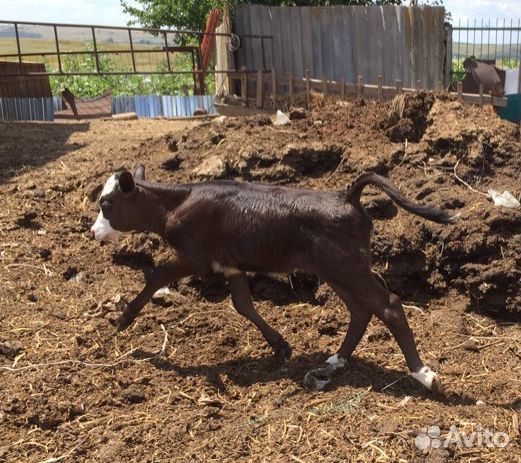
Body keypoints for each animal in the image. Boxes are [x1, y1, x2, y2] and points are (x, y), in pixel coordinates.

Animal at [92, 166, 456, 392]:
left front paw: (123, 319)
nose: (94, 231)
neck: (178, 203)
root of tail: (345, 196)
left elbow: (155, 276)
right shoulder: (231, 265)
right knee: (361, 310)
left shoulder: (193, 257)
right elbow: (243, 304)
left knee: (389, 305)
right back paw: (335, 362)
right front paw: (280, 347)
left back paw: (423, 375)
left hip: (346, 268)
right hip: (339, 270)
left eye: (106, 203)